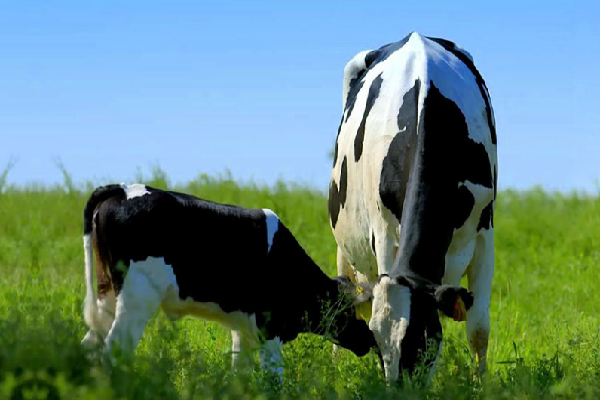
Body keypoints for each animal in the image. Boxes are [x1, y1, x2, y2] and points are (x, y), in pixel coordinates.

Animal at [81, 183, 378, 376]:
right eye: (350, 309)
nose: (369, 339)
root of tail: (123, 189)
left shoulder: (243, 328)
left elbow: (240, 374)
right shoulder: (270, 327)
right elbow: (273, 379)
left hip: (108, 294)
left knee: (90, 346)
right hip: (137, 300)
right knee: (113, 349)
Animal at [328, 31, 496, 382]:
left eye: (423, 342)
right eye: (379, 348)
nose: (397, 388)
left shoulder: (484, 234)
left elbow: (478, 327)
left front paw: (480, 384)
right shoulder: (384, 235)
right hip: (345, 241)